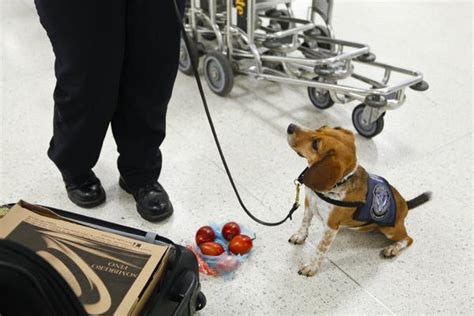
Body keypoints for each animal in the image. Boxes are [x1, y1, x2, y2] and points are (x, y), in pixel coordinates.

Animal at [286, 124, 432, 276]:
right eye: (320, 128)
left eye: (315, 144)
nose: (290, 126)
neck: (337, 184)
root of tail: (406, 204)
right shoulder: (309, 204)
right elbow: (304, 223)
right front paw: (300, 236)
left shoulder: (331, 227)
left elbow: (320, 249)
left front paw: (312, 266)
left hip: (389, 229)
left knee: (408, 239)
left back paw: (393, 248)